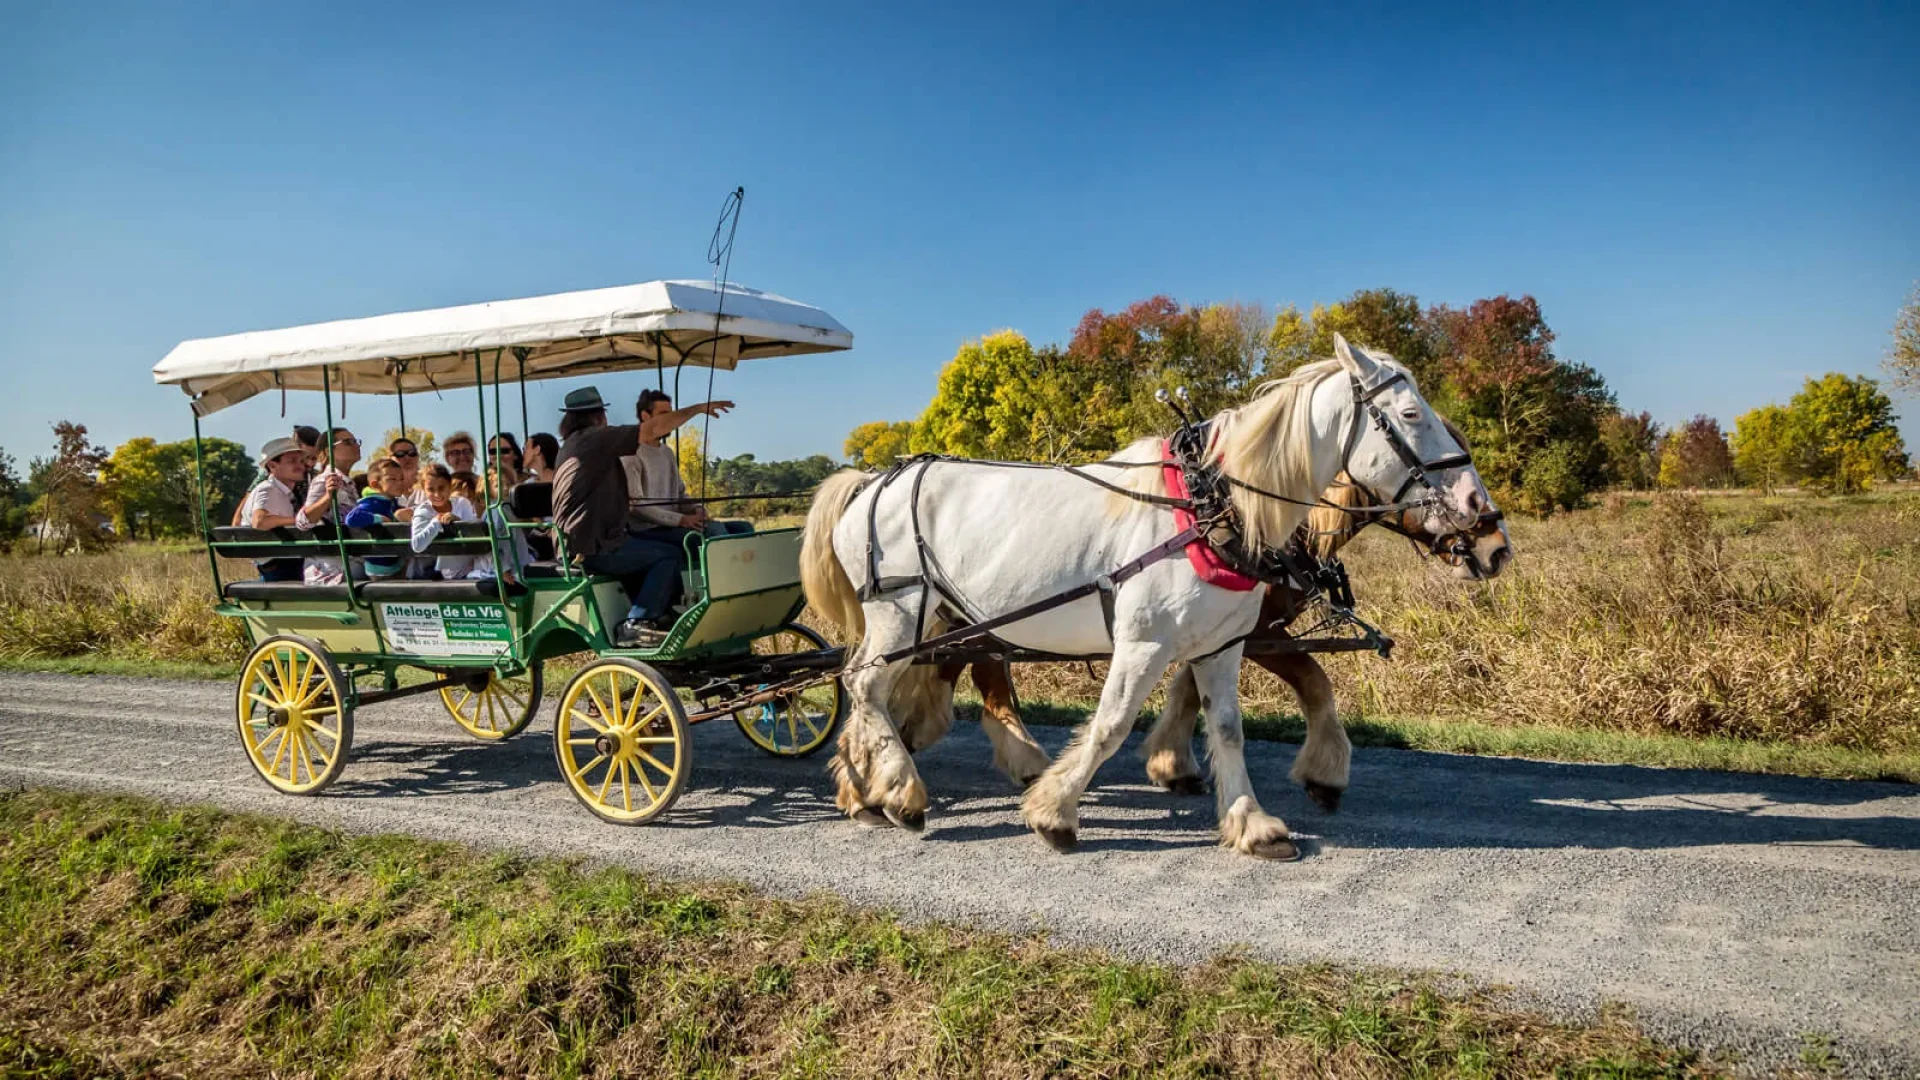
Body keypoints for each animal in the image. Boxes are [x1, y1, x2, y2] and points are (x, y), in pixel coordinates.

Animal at [802, 336, 1489, 857]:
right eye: (1411, 415)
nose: (1478, 507)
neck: (1212, 505)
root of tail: (872, 480)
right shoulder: (1144, 642)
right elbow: (1111, 725)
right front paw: (1055, 812)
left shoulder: (1223, 644)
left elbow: (1228, 729)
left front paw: (1250, 822)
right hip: (901, 612)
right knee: (866, 685)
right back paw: (901, 792)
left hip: (938, 619)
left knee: (877, 687)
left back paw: (865, 789)